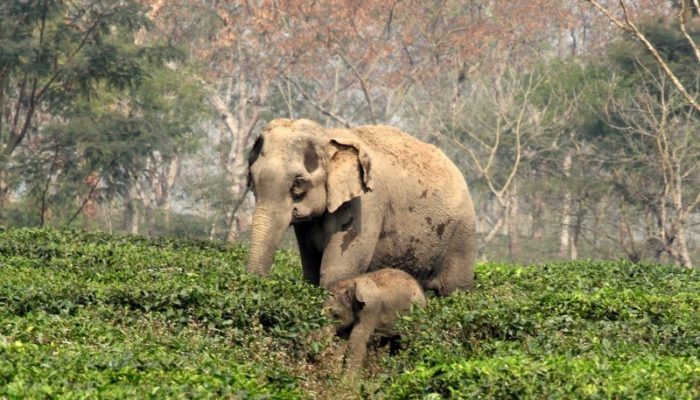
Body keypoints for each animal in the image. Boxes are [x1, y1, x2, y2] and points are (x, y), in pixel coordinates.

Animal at [246, 118, 476, 295]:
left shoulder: (366, 204)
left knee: (453, 289)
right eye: (252, 182)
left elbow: (337, 273)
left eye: (298, 184)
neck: (328, 136)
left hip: (461, 234)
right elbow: (311, 271)